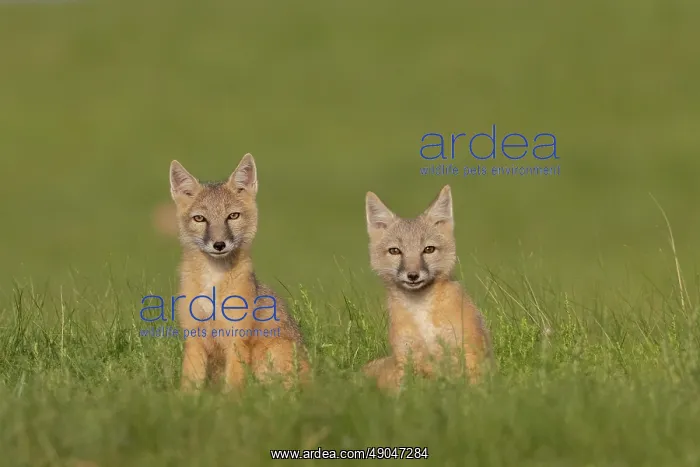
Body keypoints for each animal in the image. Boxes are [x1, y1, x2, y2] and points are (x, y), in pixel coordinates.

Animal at [169, 154, 309, 392]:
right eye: (200, 219)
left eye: (232, 216)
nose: (219, 244)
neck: (213, 282)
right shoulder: (194, 337)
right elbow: (189, 384)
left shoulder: (237, 338)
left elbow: (233, 384)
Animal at [362, 184, 494, 391]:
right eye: (395, 251)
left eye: (428, 249)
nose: (413, 275)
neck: (421, 311)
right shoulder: (405, 358)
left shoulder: (469, 349)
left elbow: (474, 385)